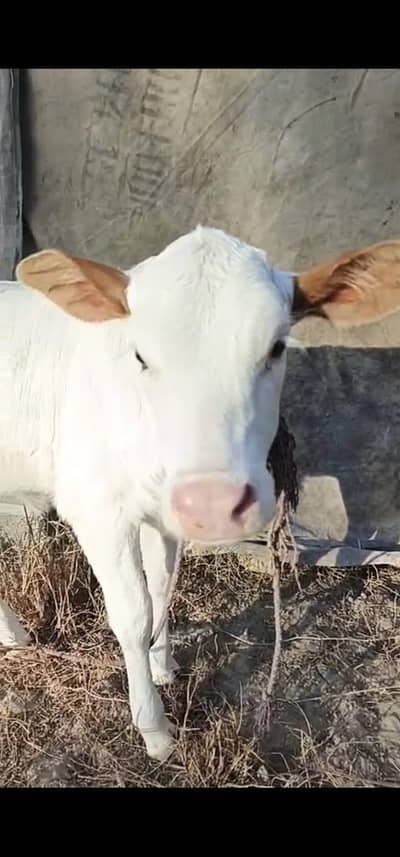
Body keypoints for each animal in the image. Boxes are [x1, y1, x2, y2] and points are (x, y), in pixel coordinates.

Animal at [0, 226, 399, 760]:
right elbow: (132, 614)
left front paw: (163, 666)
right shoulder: (97, 508)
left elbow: (160, 589)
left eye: (277, 347)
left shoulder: (164, 511)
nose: (213, 504)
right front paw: (154, 729)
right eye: (140, 355)